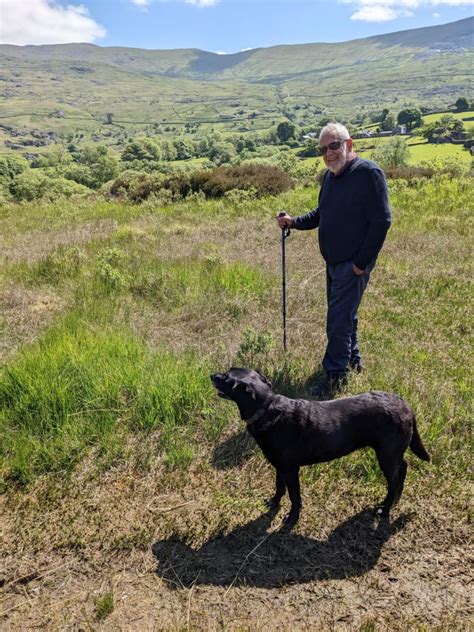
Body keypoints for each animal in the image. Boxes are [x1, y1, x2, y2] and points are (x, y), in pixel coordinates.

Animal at [211, 368, 430, 524]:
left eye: (226, 378)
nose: (212, 375)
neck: (267, 409)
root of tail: (406, 405)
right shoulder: (279, 466)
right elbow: (279, 487)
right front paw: (273, 503)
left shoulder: (290, 469)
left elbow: (295, 497)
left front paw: (292, 519)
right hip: (392, 453)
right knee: (403, 469)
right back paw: (396, 499)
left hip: (386, 455)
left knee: (393, 481)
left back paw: (385, 509)